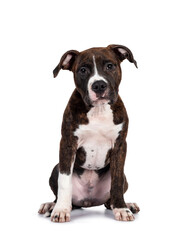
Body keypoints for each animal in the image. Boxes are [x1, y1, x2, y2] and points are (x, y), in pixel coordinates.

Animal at [38, 44, 140, 222]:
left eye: (110, 66)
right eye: (83, 70)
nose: (99, 85)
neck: (98, 110)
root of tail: (89, 201)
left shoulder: (120, 145)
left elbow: (117, 182)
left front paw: (122, 208)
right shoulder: (67, 143)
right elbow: (64, 181)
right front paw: (61, 210)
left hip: (123, 179)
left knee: (110, 199)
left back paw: (127, 204)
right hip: (55, 169)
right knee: (60, 194)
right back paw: (51, 205)